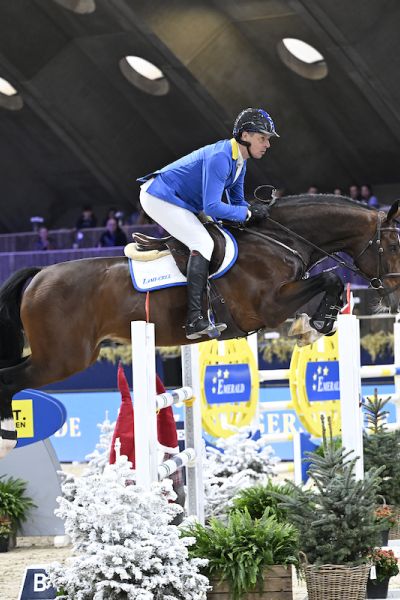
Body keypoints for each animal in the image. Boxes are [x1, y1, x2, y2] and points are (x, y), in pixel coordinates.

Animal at [0, 195, 400, 458]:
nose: (394, 297)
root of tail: (39, 275)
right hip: (63, 358)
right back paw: (7, 436)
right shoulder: (269, 306)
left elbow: (328, 284)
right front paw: (314, 325)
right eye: (394, 245)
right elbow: (331, 278)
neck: (280, 241)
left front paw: (314, 325)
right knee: (10, 380)